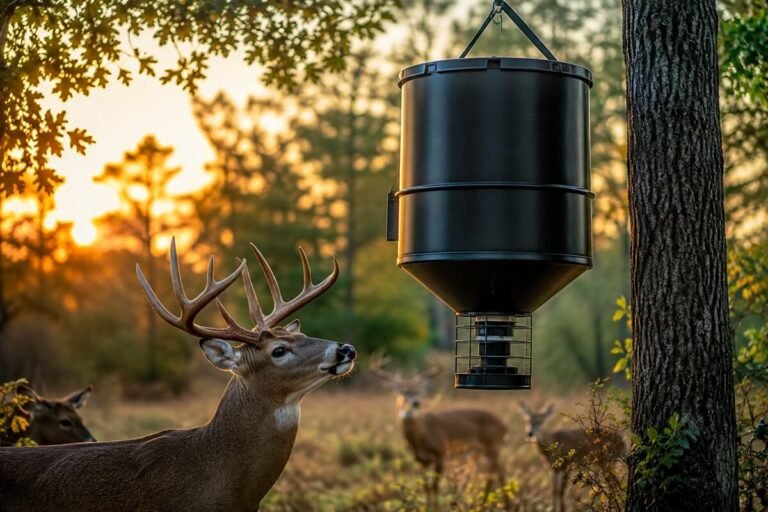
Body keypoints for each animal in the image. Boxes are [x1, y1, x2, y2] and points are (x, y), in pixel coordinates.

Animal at [370, 355, 508, 508]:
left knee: (498, 473)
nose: (415, 403)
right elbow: (426, 486)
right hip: (480, 452)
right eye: (402, 391)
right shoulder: (419, 460)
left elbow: (435, 485)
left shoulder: (441, 453)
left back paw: (501, 504)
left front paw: (435, 507)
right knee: (494, 473)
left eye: (419, 391)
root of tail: (504, 425)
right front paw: (427, 507)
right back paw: (487, 504)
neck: (422, 435)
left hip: (492, 446)